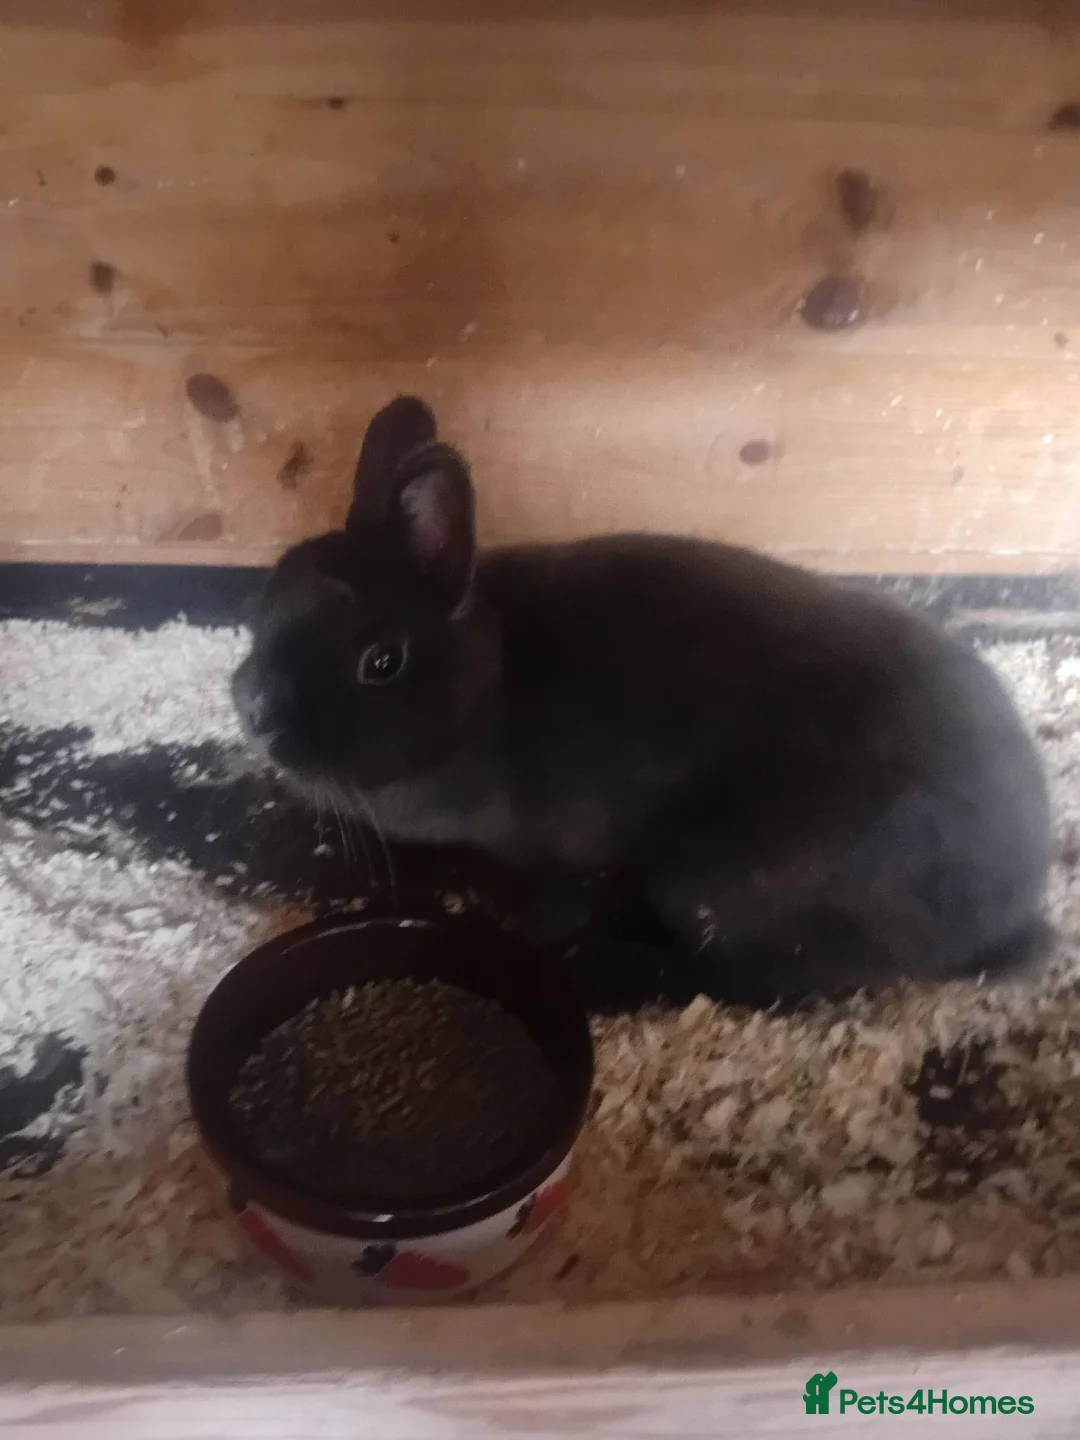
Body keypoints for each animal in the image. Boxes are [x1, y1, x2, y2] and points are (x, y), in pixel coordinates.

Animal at [232, 395, 1053, 1009]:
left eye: (382, 662)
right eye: (272, 594)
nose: (254, 710)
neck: (485, 691)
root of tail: (1009, 904)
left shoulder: (555, 853)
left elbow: (556, 904)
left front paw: (532, 941)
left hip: (714, 884)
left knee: (768, 980)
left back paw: (607, 974)